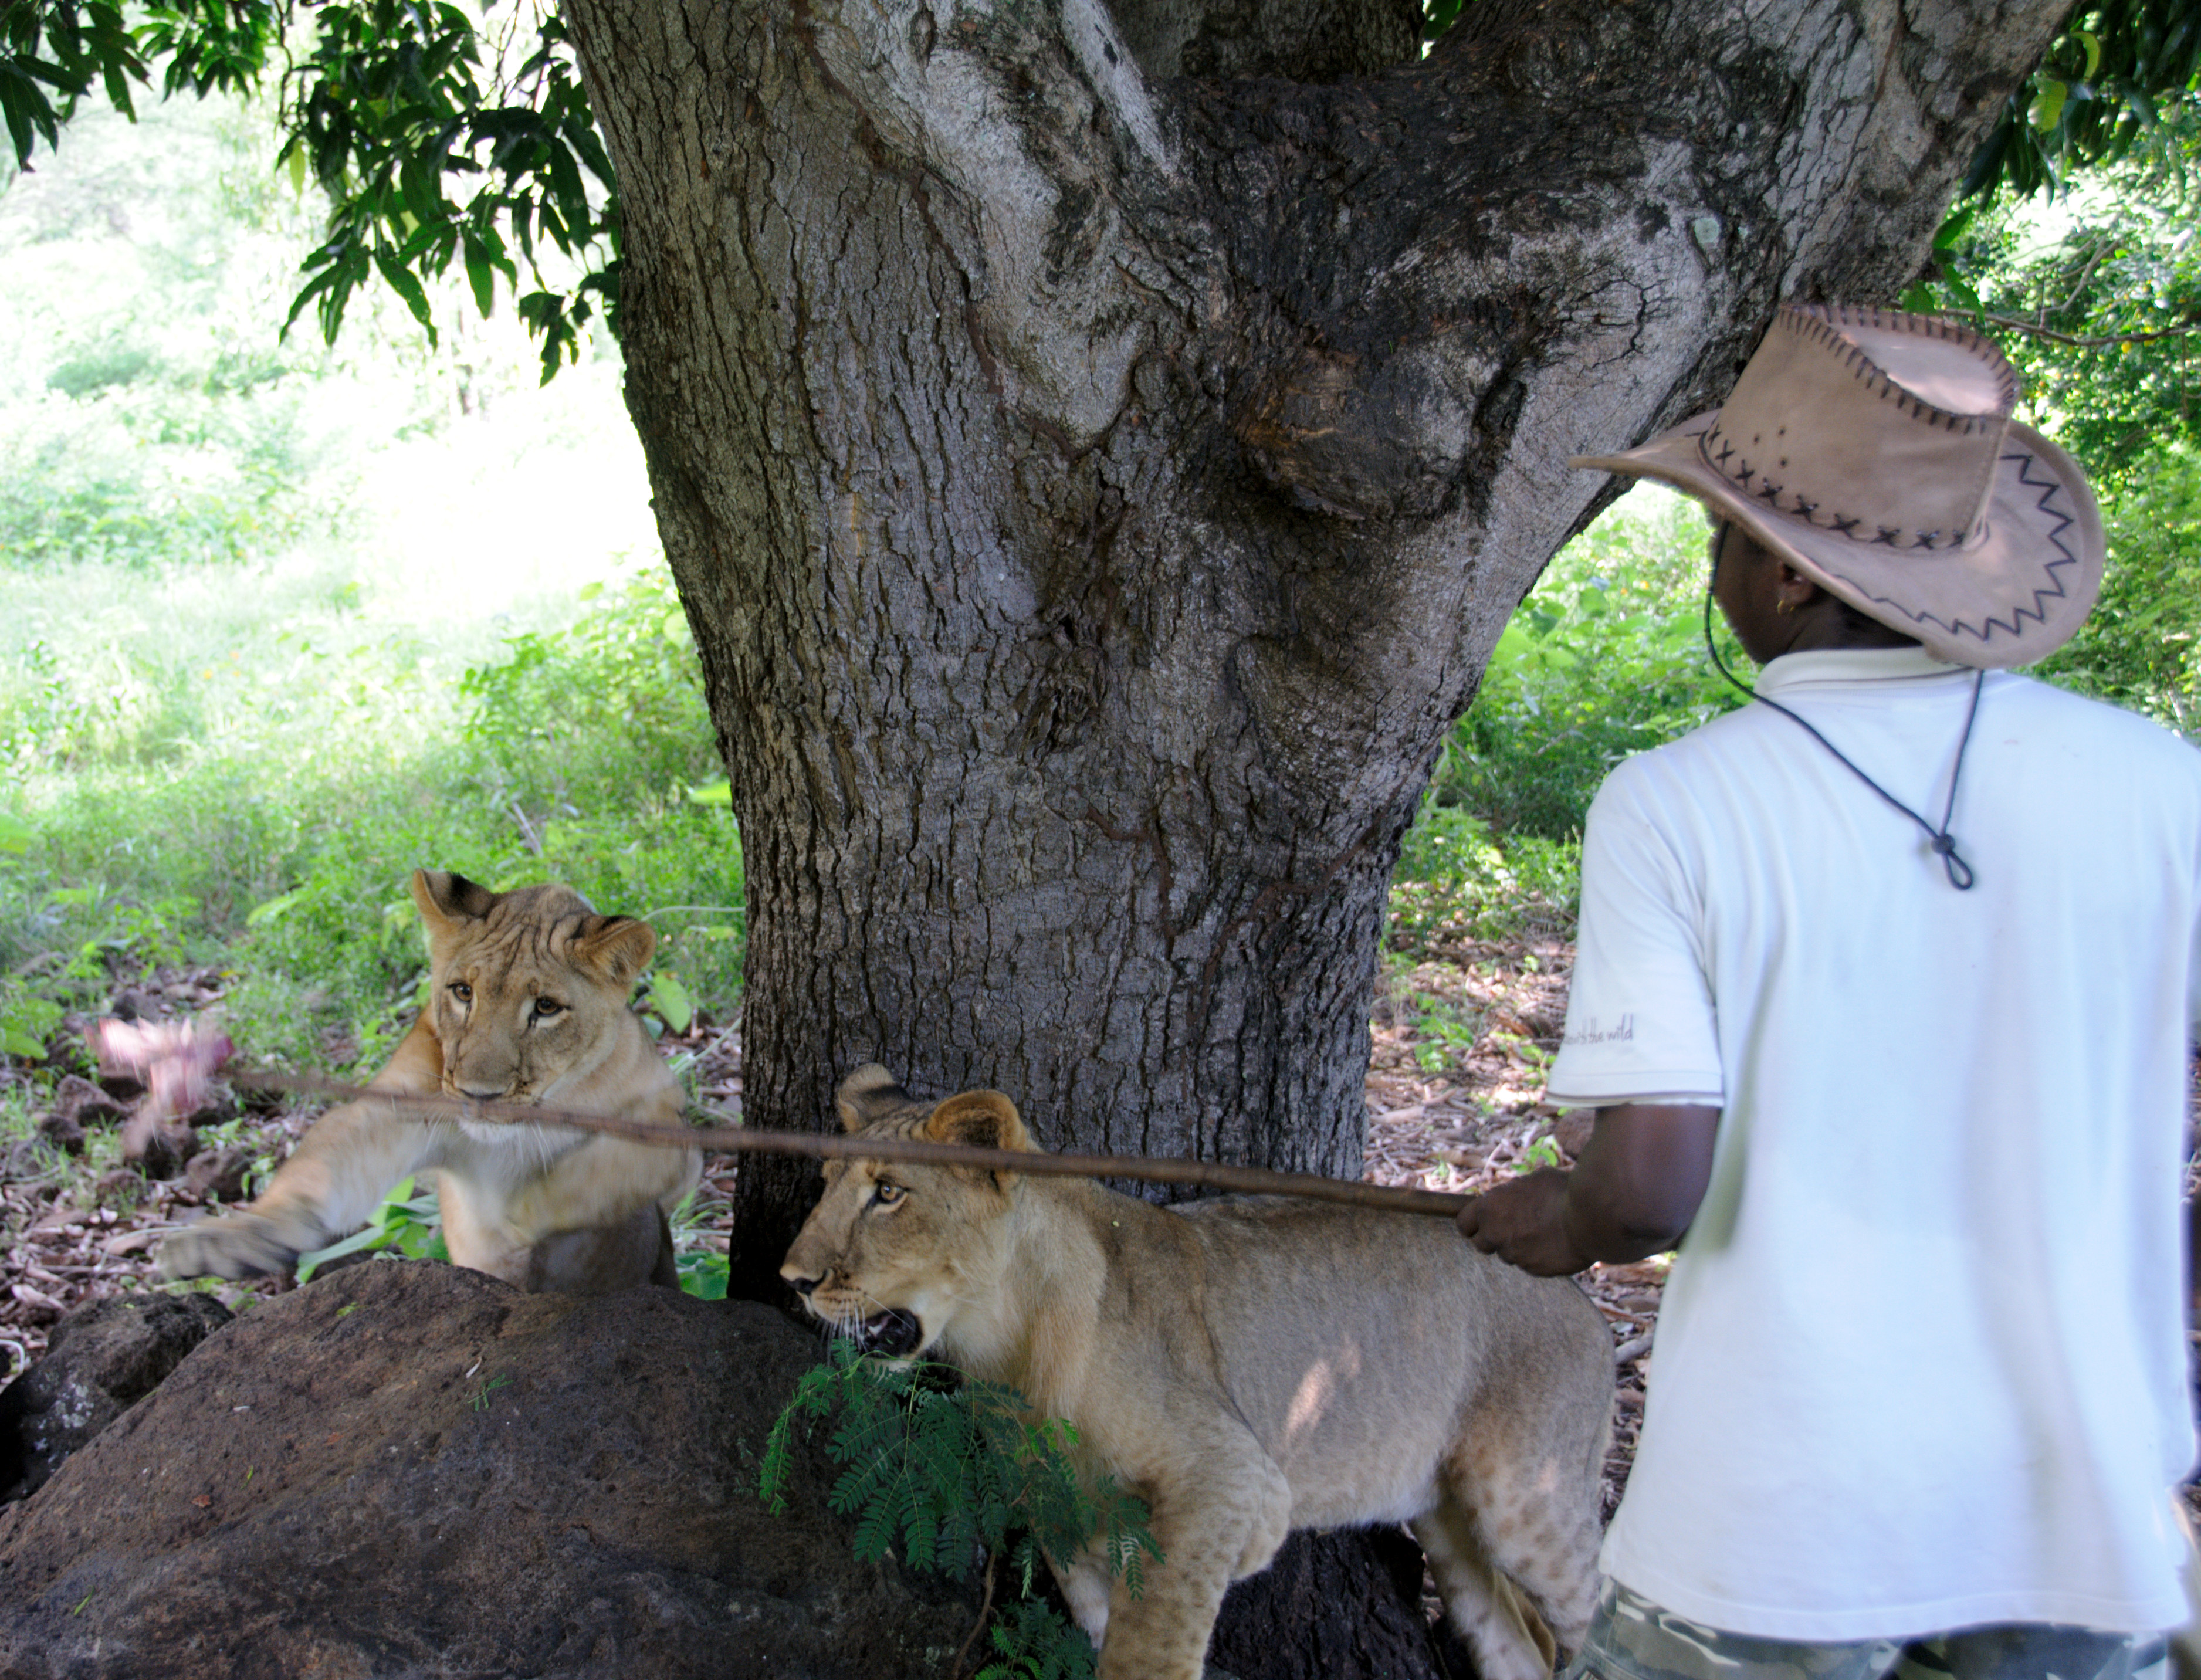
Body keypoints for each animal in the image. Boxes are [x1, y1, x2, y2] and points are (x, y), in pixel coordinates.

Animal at [161, 870, 701, 1295]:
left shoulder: (672, 1129)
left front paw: (521, 1213)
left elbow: (603, 1170)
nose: (480, 1096)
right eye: (463, 992)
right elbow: (319, 1170)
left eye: (546, 1007)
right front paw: (224, 1240)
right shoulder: (397, 1108)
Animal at [780, 1065, 1613, 1680]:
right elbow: (1100, 1616)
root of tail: (1584, 1298)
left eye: (889, 1192)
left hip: (1525, 1506)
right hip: (1450, 1524)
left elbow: (1151, 1644)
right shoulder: (1062, 1505)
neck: (1006, 1346)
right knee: (1517, 1644)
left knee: (1583, 1622)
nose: (793, 1278)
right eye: (824, 1184)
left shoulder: (1234, 1477)